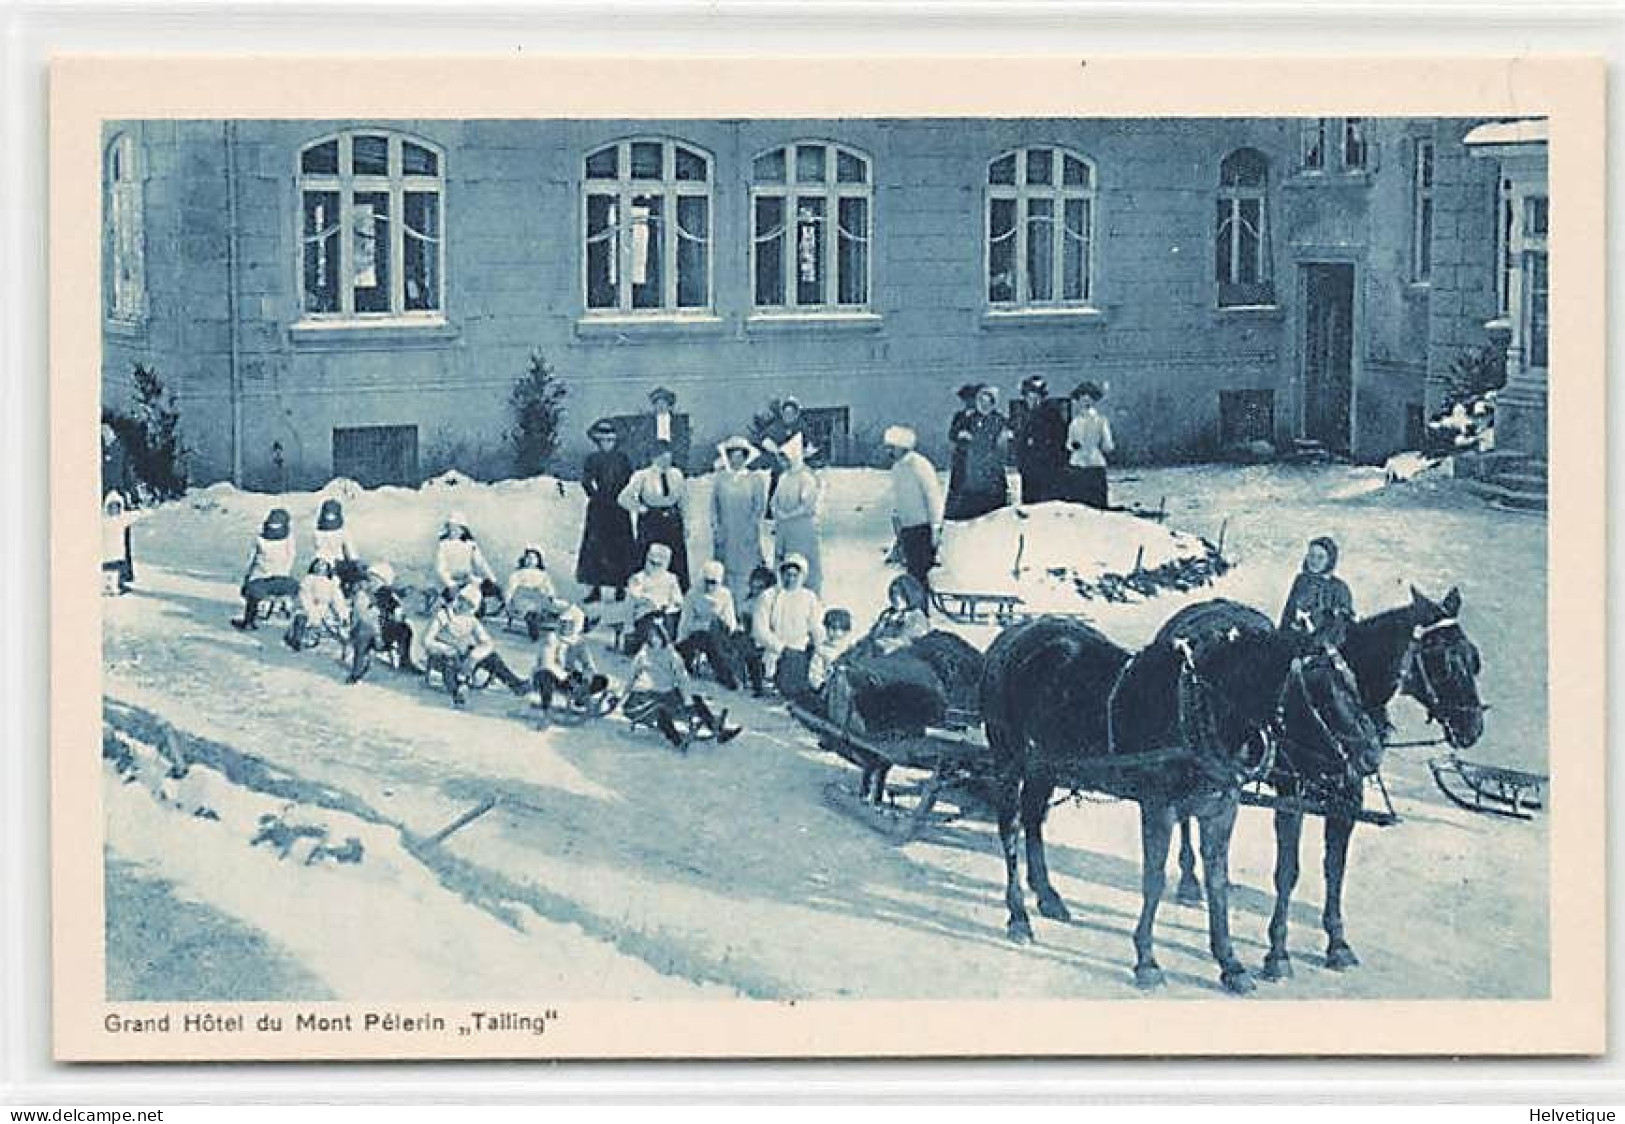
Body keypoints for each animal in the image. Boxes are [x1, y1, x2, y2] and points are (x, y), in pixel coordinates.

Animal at [975, 597, 1384, 994]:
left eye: (1353, 682)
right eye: (1322, 690)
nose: (1371, 754)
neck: (1204, 710)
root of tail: (1014, 633)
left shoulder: (1221, 808)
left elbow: (1217, 881)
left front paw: (1230, 963)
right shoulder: (1159, 808)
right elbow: (1154, 880)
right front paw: (1147, 961)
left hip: (1044, 765)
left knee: (1033, 820)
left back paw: (1048, 897)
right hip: (1008, 759)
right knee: (1010, 829)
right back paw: (1019, 917)